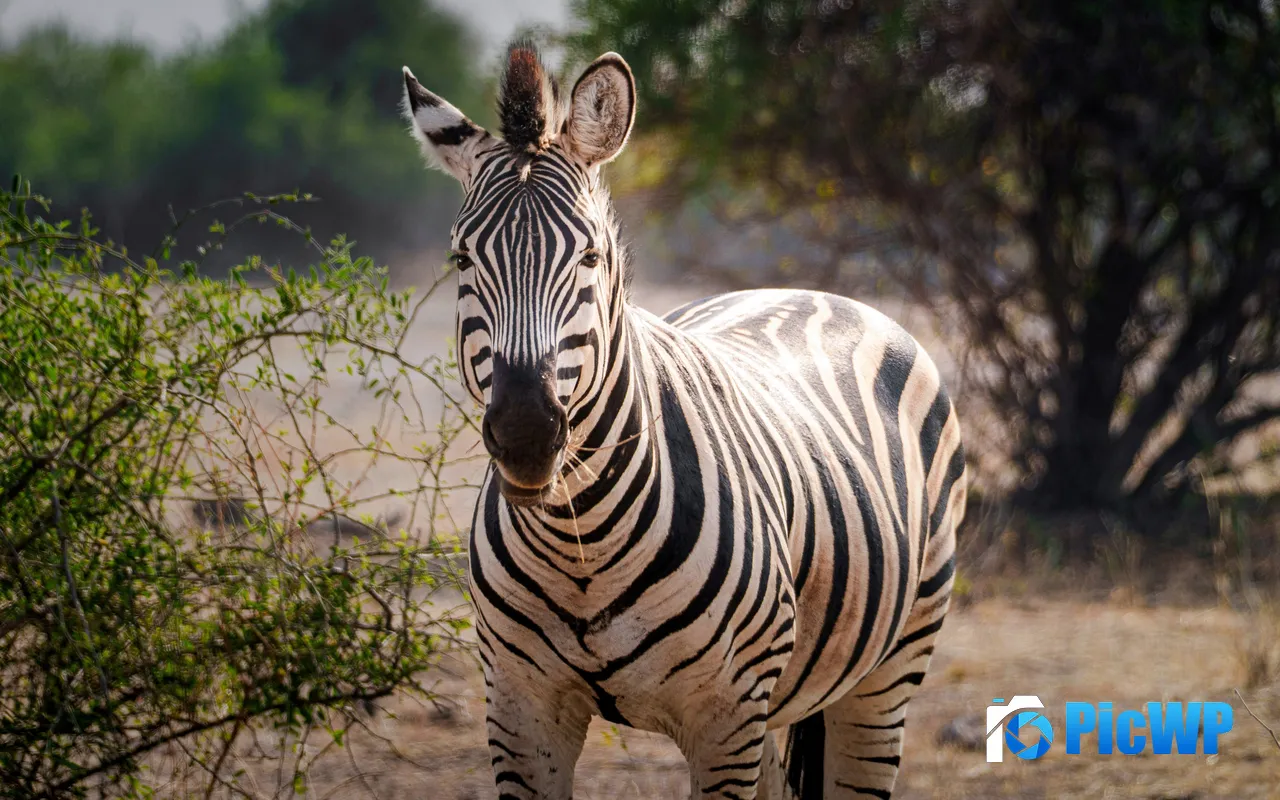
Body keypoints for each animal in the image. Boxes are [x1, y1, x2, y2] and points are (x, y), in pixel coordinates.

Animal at [401, 42, 966, 800]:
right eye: (461, 257)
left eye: (590, 256)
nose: (525, 436)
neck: (579, 543)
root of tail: (812, 291)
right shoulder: (519, 707)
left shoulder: (726, 715)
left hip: (888, 671)